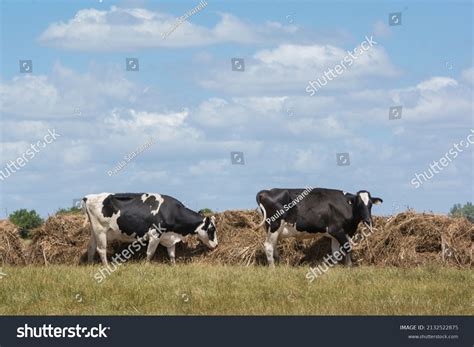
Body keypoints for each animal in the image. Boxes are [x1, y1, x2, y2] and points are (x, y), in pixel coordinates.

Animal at [82, 193, 218, 266]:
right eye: (211, 229)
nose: (216, 245)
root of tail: (89, 197)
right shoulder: (154, 235)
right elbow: (150, 253)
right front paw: (147, 265)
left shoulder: (169, 237)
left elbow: (172, 254)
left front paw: (174, 266)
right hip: (101, 230)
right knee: (101, 249)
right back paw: (106, 265)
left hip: (94, 231)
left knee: (91, 247)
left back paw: (90, 264)